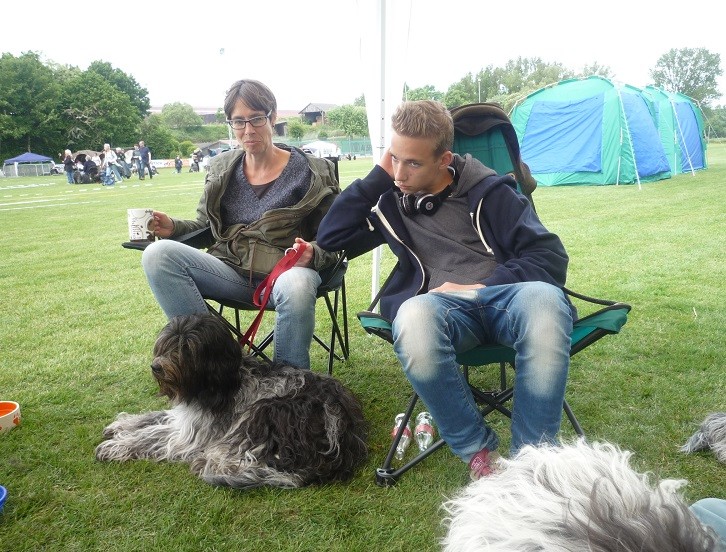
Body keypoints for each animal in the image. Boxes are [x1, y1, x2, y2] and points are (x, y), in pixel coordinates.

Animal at [95, 312, 370, 490]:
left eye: (186, 348)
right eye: (166, 344)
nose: (156, 367)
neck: (221, 382)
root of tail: (343, 437)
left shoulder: (194, 434)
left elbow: (154, 436)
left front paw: (116, 446)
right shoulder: (187, 417)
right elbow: (157, 417)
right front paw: (122, 425)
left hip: (265, 412)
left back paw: (216, 464)